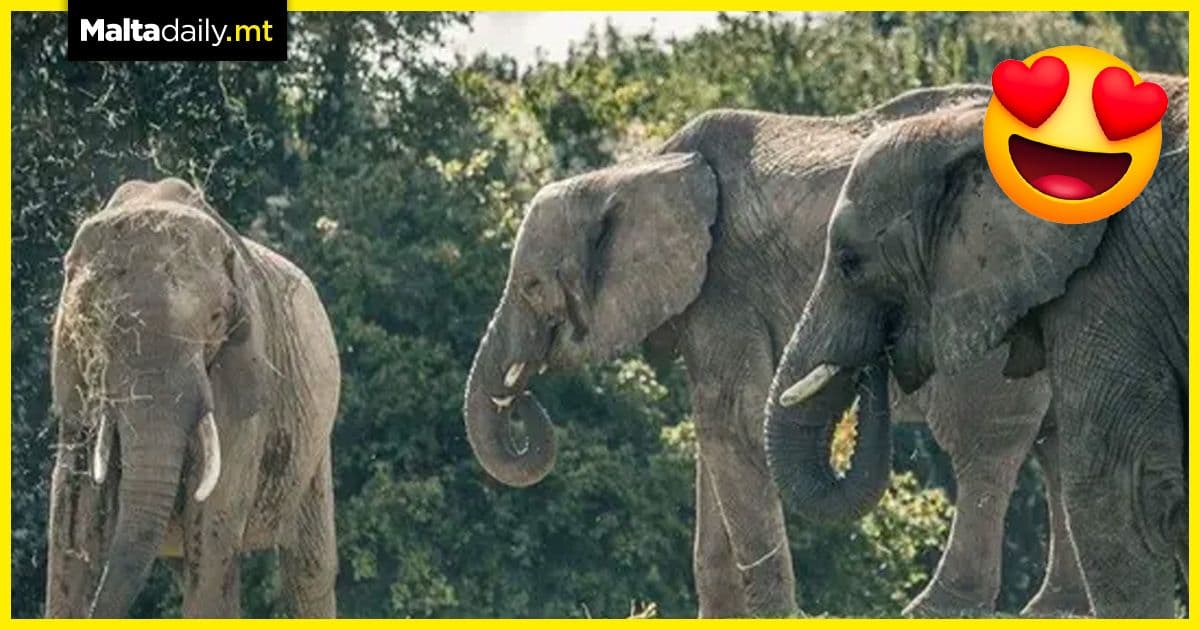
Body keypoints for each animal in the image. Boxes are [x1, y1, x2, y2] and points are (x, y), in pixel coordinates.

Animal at [45, 178, 341, 618]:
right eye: (95, 322)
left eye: (217, 319)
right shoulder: (75, 376)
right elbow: (74, 512)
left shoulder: (243, 381)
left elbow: (214, 519)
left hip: (315, 447)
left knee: (309, 572)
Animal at [463, 86, 1088, 617]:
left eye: (532, 286)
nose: (522, 402)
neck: (640, 168)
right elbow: (714, 434)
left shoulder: (725, 285)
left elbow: (730, 420)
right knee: (1059, 440)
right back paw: (1056, 609)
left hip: (984, 284)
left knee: (984, 438)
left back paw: (937, 610)